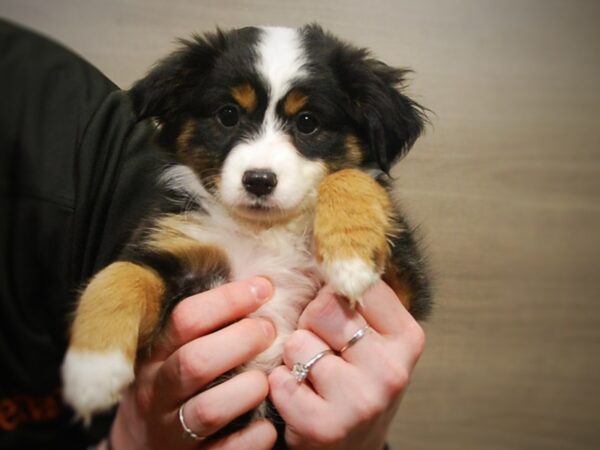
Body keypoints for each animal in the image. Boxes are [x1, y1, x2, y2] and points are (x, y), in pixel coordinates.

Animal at [59, 24, 432, 428]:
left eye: (307, 122)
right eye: (228, 115)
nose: (258, 180)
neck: (265, 230)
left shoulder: (406, 290)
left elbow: (351, 176)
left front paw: (351, 261)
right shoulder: (176, 248)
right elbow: (118, 277)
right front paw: (92, 372)